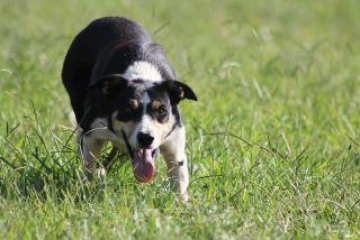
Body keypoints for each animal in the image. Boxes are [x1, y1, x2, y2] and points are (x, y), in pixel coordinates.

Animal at [62, 16, 197, 200]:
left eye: (161, 111)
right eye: (127, 109)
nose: (146, 138)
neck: (143, 77)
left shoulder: (174, 141)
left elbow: (179, 177)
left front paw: (181, 202)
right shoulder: (92, 133)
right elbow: (89, 165)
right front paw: (89, 188)